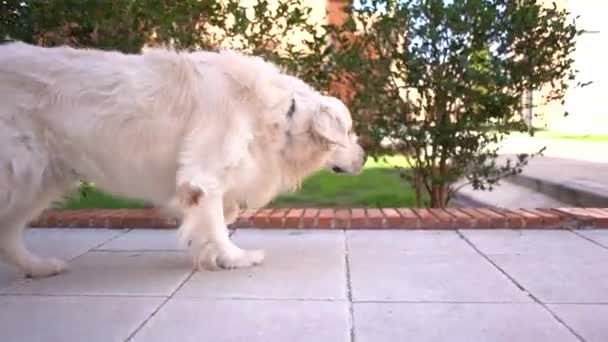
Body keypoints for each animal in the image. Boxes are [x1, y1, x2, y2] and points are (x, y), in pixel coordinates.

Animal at [0, 42, 366, 278]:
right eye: (349, 131)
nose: (365, 158)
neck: (283, 114)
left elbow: (215, 215)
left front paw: (206, 251)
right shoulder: (204, 172)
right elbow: (216, 221)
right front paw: (234, 258)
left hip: (42, 177)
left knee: (8, 231)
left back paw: (37, 267)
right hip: (22, 170)